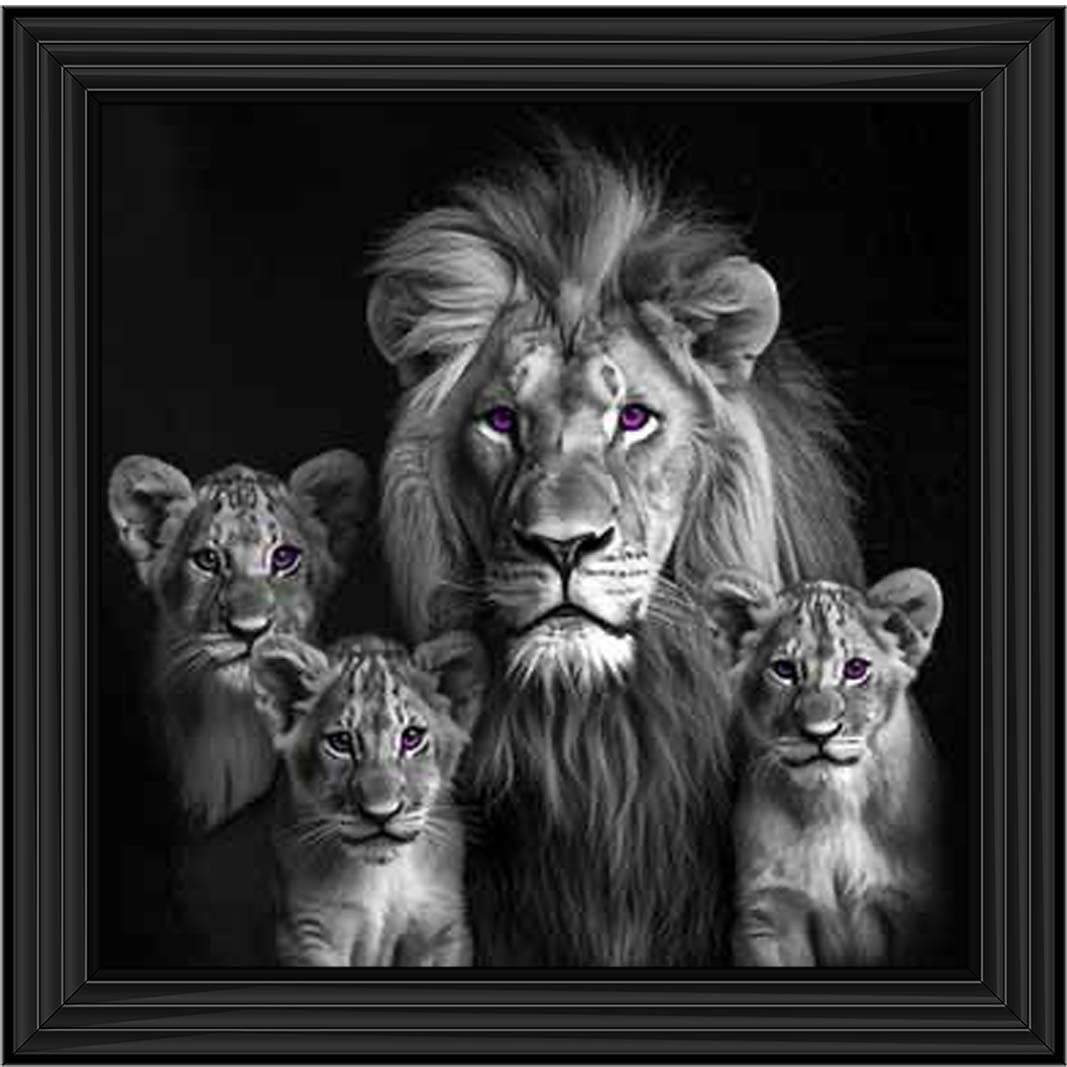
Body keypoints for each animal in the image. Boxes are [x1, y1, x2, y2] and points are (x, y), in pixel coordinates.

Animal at [250, 630, 485, 966]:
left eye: (411, 737)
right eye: (340, 742)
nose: (381, 814)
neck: (382, 875)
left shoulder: (443, 928)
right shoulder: (308, 935)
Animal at [704, 568, 945, 966]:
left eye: (856, 669)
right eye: (784, 670)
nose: (820, 733)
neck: (833, 804)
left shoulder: (916, 908)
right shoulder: (769, 912)